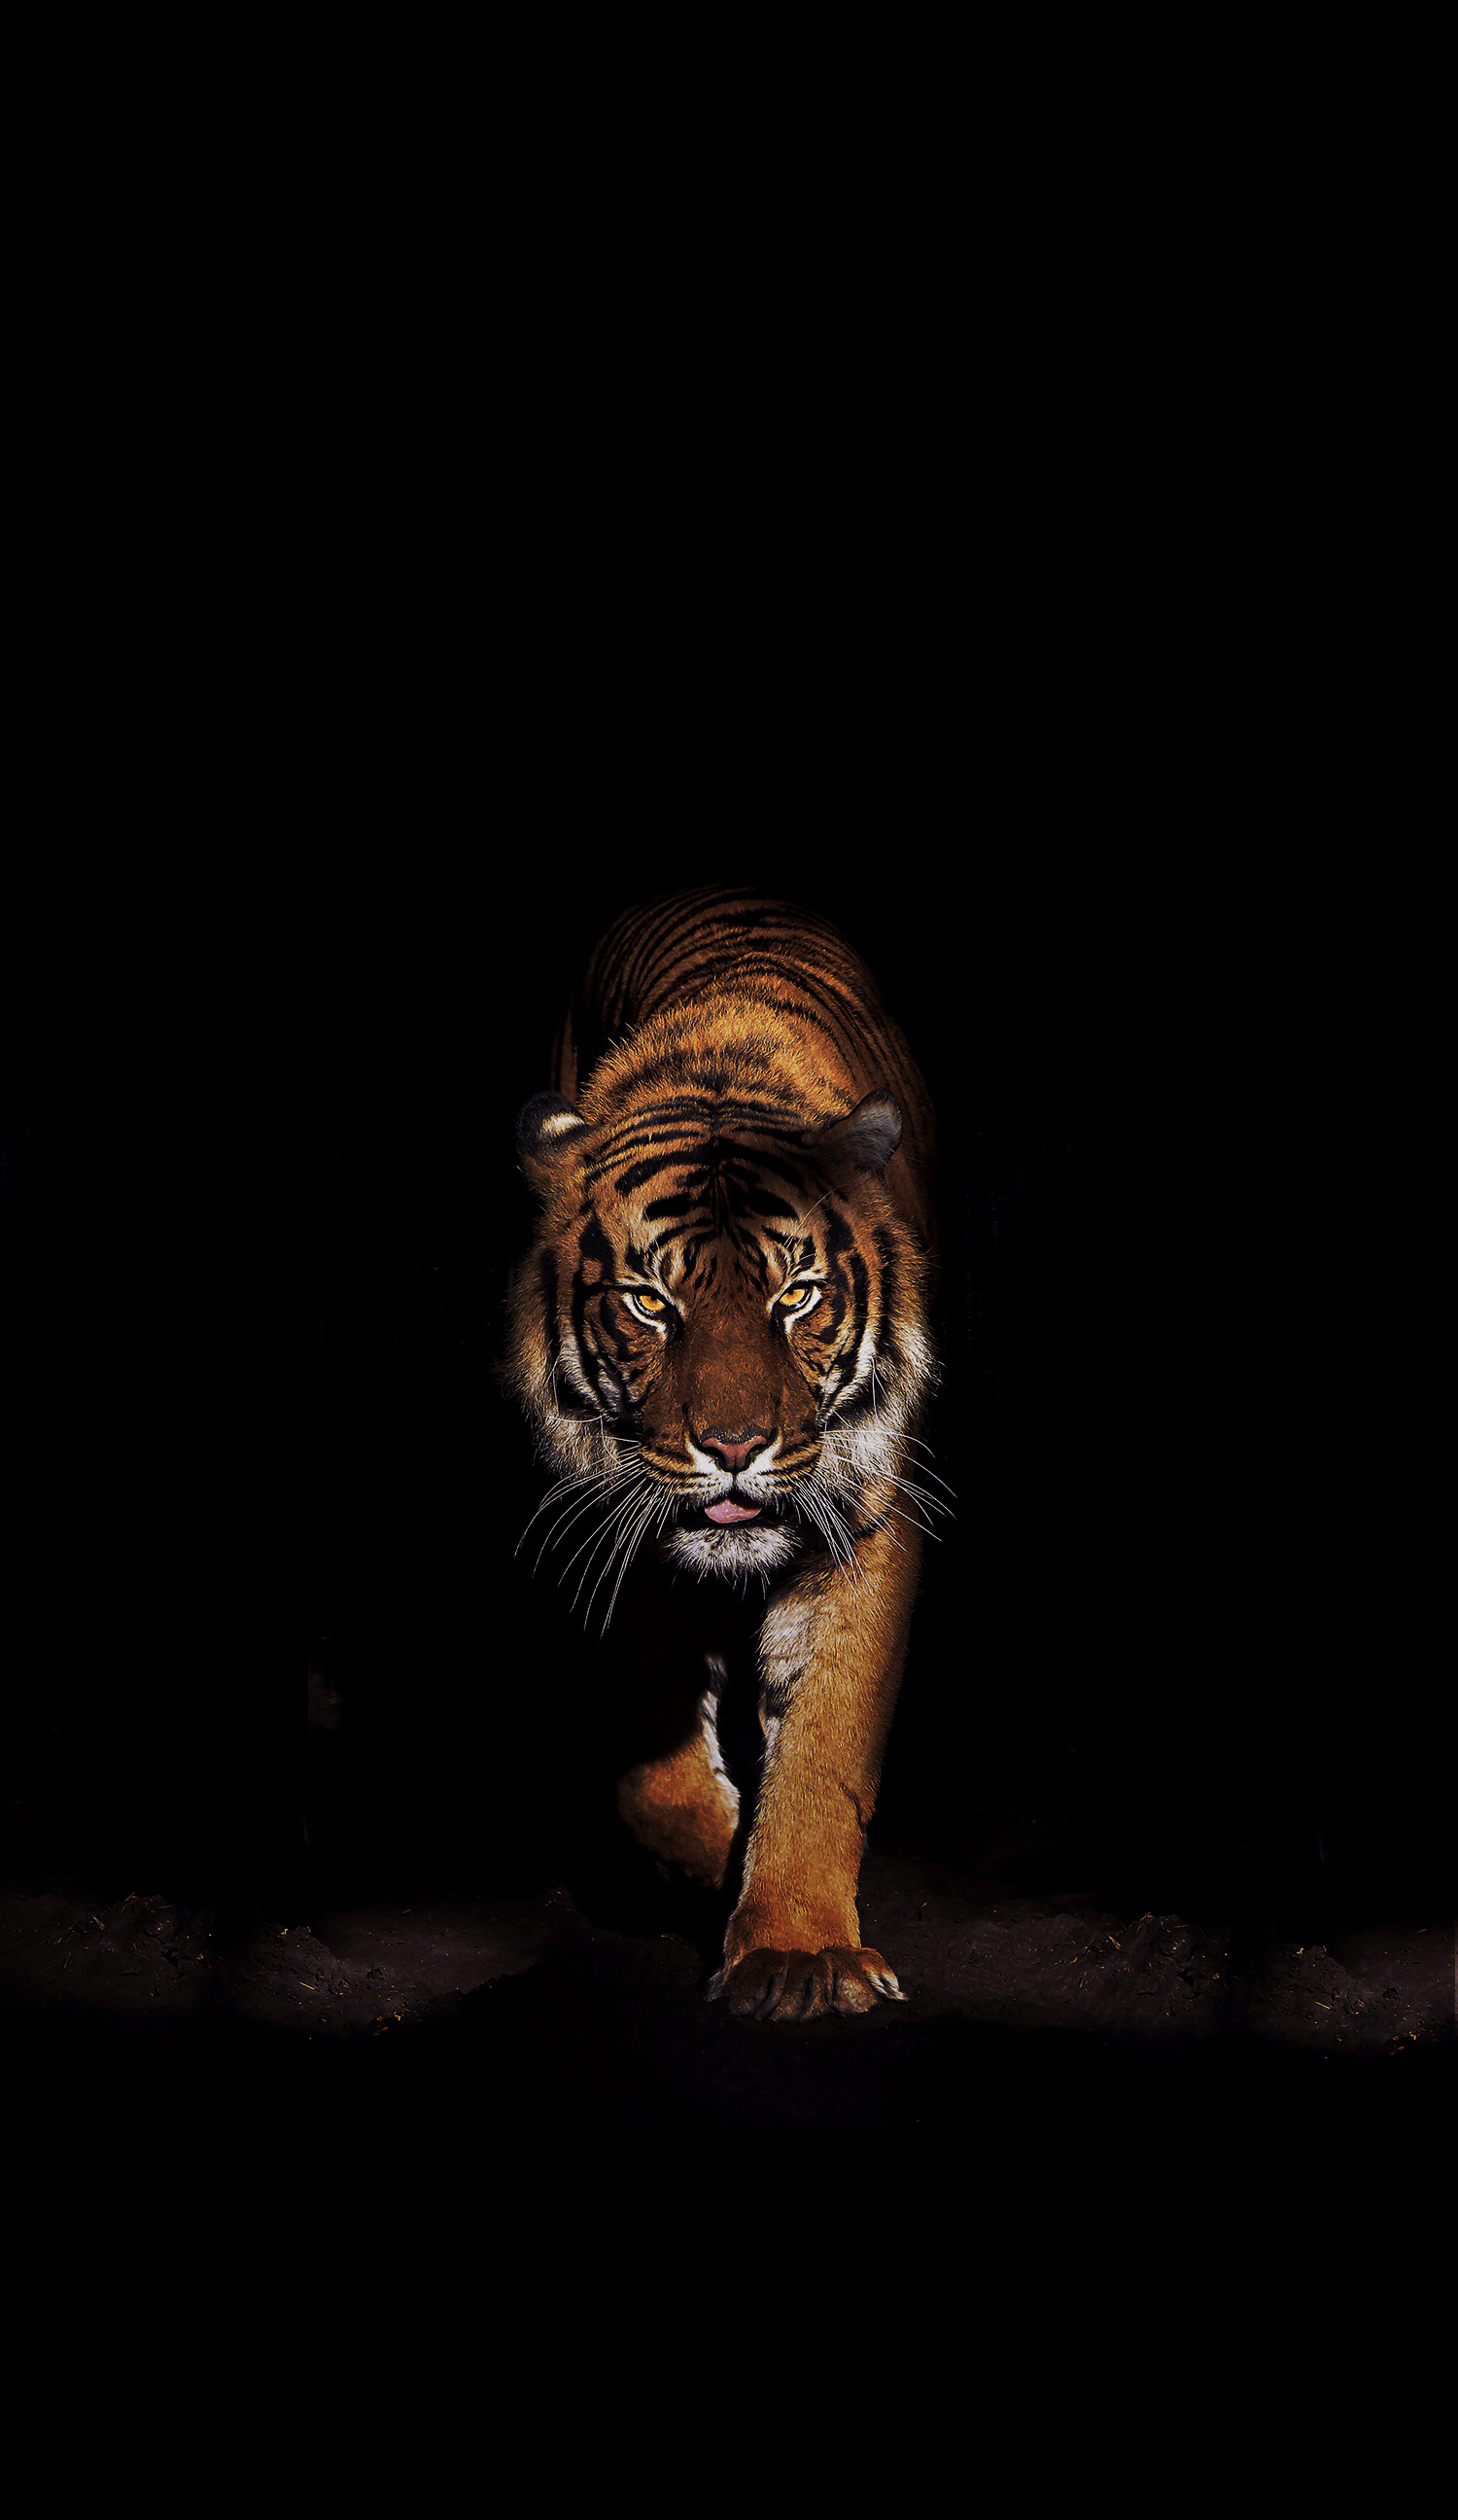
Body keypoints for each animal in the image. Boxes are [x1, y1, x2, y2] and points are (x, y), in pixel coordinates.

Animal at [505, 887, 940, 2020]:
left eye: (798, 1295)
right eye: (652, 1304)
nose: (736, 1446)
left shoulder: (867, 1519)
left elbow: (827, 1744)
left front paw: (798, 1954)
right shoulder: (617, 1518)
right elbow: (651, 1760)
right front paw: (712, 1861)